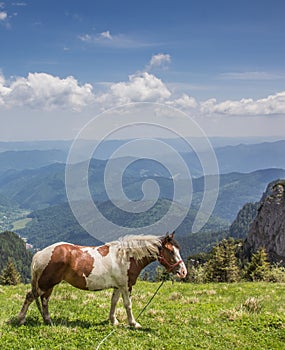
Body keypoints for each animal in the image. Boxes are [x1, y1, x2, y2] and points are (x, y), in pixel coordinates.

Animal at [18, 232, 186, 328]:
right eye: (171, 251)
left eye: (178, 250)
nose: (183, 272)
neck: (127, 257)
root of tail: (40, 253)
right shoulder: (126, 286)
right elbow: (128, 305)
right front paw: (133, 323)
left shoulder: (118, 286)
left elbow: (114, 302)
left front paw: (113, 320)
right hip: (44, 284)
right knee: (30, 297)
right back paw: (21, 319)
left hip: (49, 285)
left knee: (45, 300)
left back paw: (48, 321)